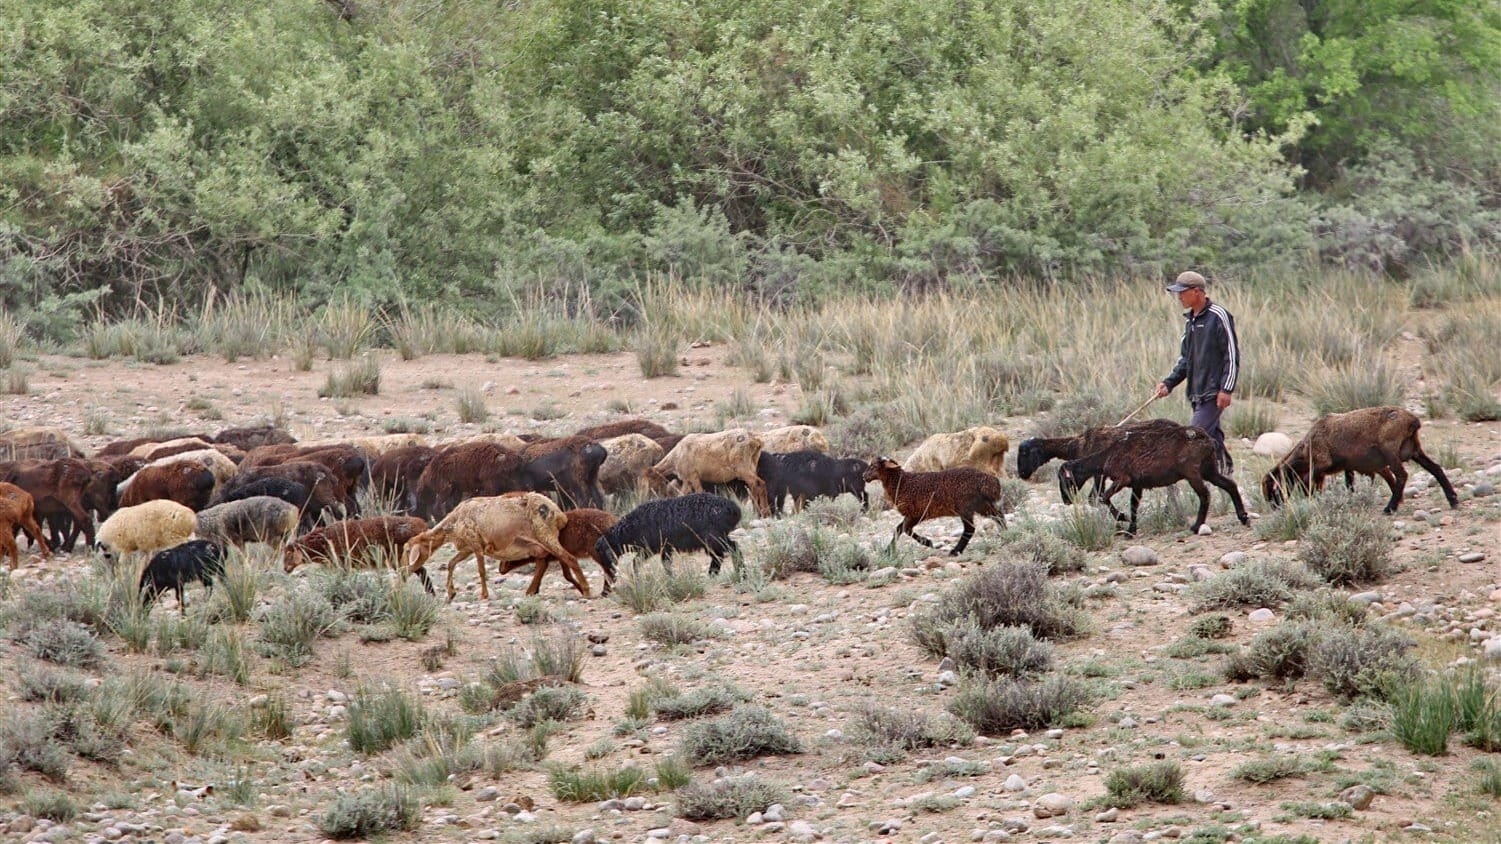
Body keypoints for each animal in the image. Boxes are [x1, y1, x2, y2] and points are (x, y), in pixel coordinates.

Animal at [402, 489, 582, 600]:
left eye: (408, 551)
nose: (402, 572)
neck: (453, 522)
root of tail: (559, 513)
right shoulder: (467, 548)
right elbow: (451, 563)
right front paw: (451, 593)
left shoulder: (476, 545)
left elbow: (481, 571)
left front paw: (484, 595)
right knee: (544, 560)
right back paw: (534, 590)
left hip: (544, 535)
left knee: (561, 558)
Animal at [591, 489, 744, 573]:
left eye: (601, 552)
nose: (609, 571)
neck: (630, 528)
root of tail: (734, 508)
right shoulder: (663, 548)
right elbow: (665, 565)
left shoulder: (649, 549)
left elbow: (636, 563)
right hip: (714, 539)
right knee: (720, 555)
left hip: (713, 538)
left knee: (732, 549)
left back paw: (740, 573)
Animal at [864, 456, 1002, 555]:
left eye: (873, 465)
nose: (863, 476)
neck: (902, 483)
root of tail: (989, 480)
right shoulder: (913, 514)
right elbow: (899, 529)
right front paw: (888, 551)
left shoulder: (916, 513)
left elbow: (905, 530)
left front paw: (927, 542)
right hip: (981, 505)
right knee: (998, 516)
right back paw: (1004, 533)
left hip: (965, 507)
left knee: (970, 529)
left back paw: (955, 551)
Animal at [1056, 417, 1254, 531]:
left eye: (1065, 479)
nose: (1066, 501)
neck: (1106, 456)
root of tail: (1208, 439)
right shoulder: (1137, 483)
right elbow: (1134, 504)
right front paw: (1131, 529)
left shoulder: (1123, 478)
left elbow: (1104, 497)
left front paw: (1122, 518)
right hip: (1209, 468)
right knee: (1229, 485)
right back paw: (1243, 517)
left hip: (1192, 471)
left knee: (1205, 494)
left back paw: (1196, 526)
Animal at [1260, 402, 1458, 513]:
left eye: (1272, 490)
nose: (1275, 509)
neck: (1306, 447)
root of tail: (1413, 420)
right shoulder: (1347, 467)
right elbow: (1349, 485)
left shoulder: (1320, 464)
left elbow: (1308, 485)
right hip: (1414, 450)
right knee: (1436, 468)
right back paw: (1453, 499)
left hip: (1390, 451)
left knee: (1402, 475)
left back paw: (1390, 508)